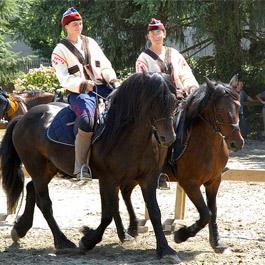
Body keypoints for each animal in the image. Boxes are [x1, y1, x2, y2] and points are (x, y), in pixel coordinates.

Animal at [1, 73, 178, 258]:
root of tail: (23, 118)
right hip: (36, 167)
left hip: (49, 168)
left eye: (175, 101)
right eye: (154, 101)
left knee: (31, 189)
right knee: (44, 203)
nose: (168, 138)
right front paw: (88, 240)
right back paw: (62, 242)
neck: (125, 134)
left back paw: (20, 229)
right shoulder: (108, 179)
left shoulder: (147, 179)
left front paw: (165, 249)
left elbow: (154, 211)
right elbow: (108, 213)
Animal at [118, 76, 242, 252]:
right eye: (219, 111)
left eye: (238, 107)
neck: (205, 144)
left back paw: (132, 229)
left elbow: (213, 210)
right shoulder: (190, 183)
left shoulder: (214, 181)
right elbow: (206, 214)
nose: (237, 143)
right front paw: (181, 235)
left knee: (125, 191)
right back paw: (127, 231)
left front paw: (216, 242)